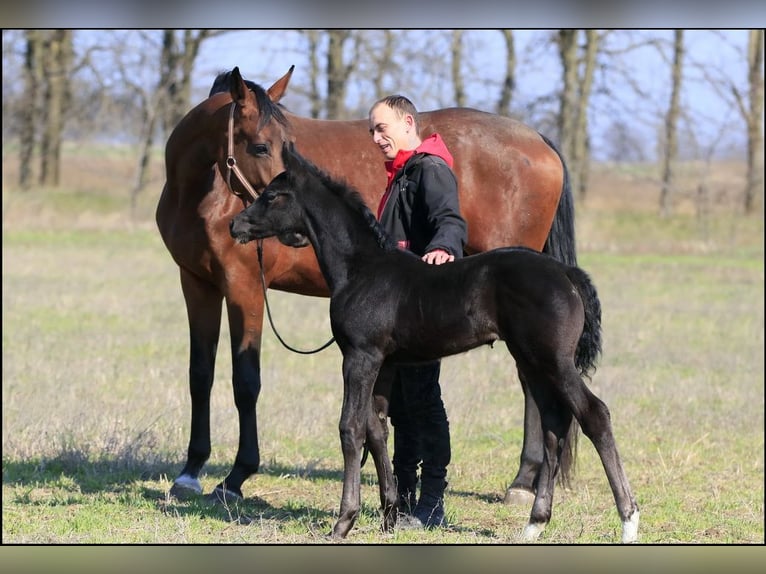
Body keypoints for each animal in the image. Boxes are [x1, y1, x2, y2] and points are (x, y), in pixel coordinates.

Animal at [156, 66, 576, 504]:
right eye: (259, 146)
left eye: (280, 144)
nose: (293, 214)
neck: (202, 194)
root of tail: (538, 139)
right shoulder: (197, 283)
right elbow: (200, 374)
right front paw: (190, 471)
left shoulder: (245, 287)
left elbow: (245, 381)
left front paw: (236, 477)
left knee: (531, 384)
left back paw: (523, 483)